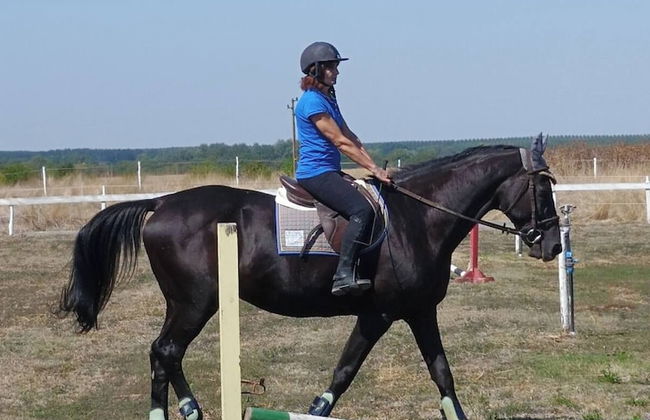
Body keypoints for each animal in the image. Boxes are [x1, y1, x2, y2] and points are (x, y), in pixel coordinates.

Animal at [57, 136, 561, 420]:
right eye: (542, 187)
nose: (553, 247)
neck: (416, 218)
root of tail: (160, 203)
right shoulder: (380, 313)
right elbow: (346, 370)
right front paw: (316, 409)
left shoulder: (418, 312)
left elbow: (441, 374)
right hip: (196, 303)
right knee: (166, 351)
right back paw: (187, 409)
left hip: (188, 303)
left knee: (164, 354)